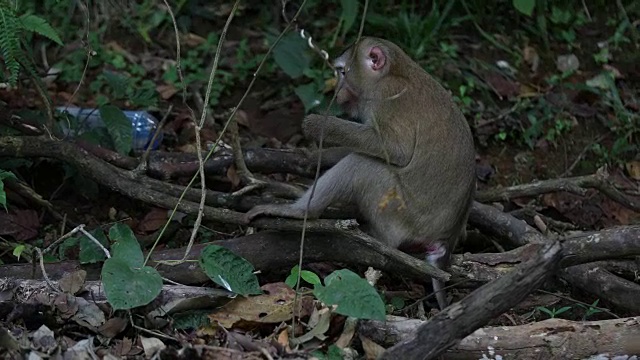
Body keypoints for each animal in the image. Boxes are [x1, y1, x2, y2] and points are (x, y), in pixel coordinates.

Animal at [245, 37, 476, 310]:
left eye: (342, 72)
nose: (337, 92)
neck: (397, 71)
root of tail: (444, 241)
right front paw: (313, 156)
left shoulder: (386, 96)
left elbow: (396, 151)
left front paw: (317, 125)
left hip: (397, 209)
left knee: (363, 166)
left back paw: (302, 213)